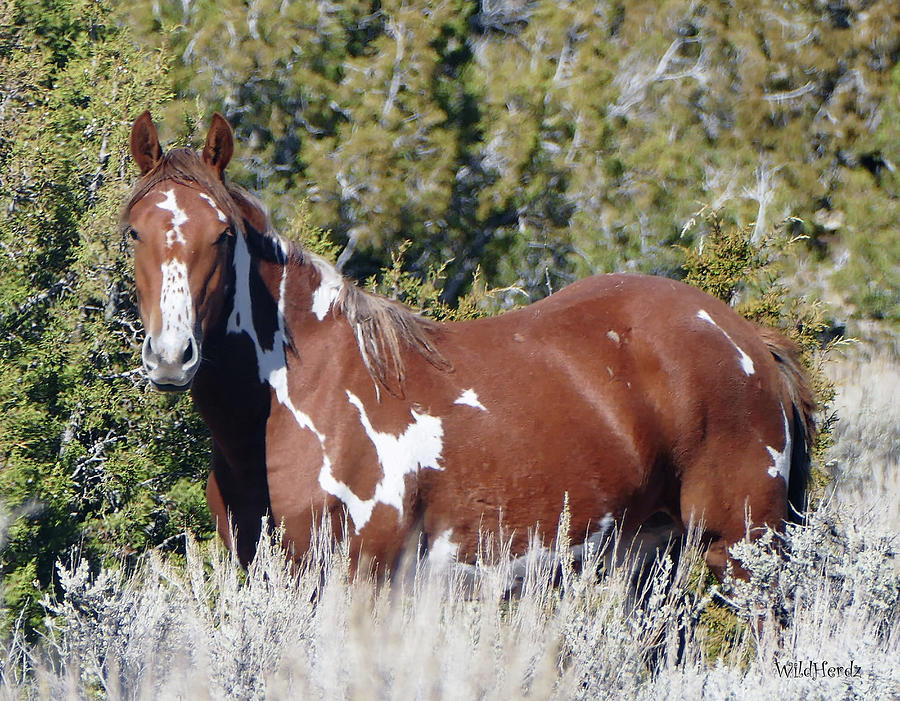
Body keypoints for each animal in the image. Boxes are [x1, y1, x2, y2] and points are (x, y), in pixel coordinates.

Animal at [123, 112, 820, 584]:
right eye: (133, 231)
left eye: (221, 234)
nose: (172, 357)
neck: (306, 392)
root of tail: (746, 338)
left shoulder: (364, 574)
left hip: (740, 548)